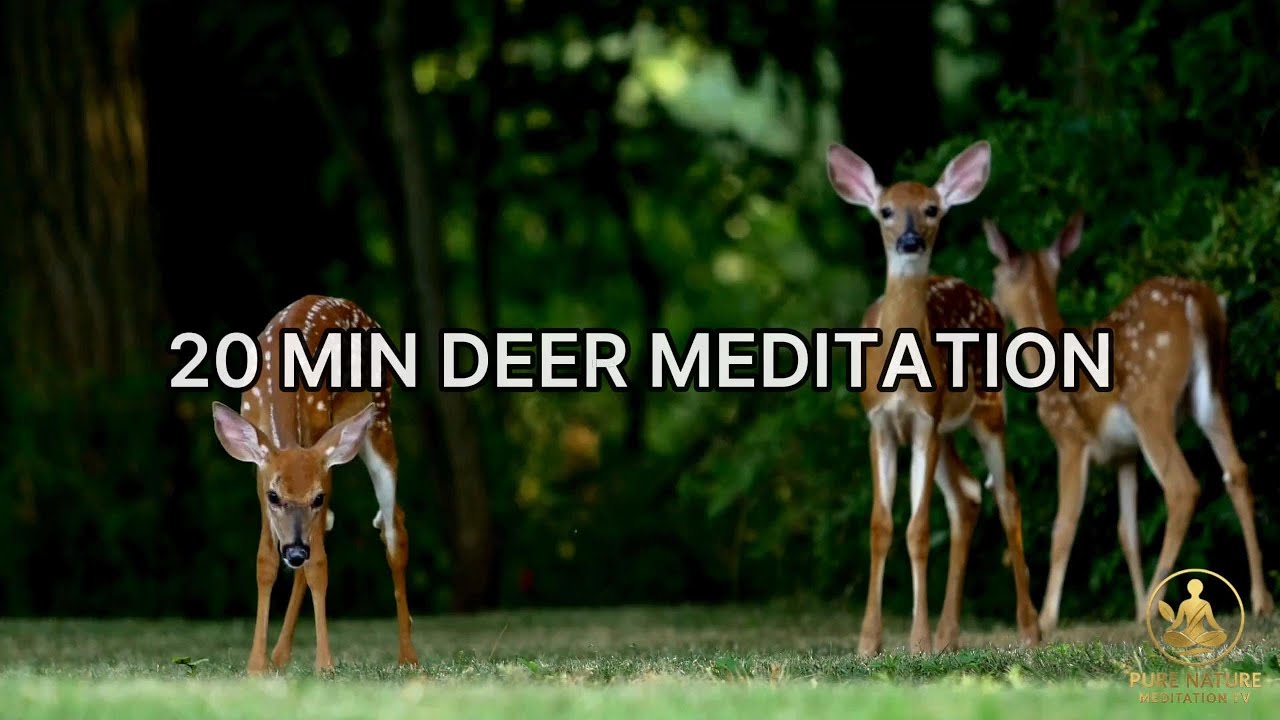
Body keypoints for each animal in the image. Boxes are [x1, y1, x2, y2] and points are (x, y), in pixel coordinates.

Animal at [210, 295, 419, 674]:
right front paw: (256, 664)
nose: (295, 552)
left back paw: (408, 656)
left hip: (380, 418)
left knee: (393, 527)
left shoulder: (325, 457)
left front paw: (325, 665)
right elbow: (266, 562)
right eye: (274, 496)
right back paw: (280, 655)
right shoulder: (259, 470)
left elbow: (319, 565)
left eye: (317, 497)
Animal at [826, 140, 1041, 655]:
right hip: (947, 429)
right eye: (885, 211)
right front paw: (869, 642)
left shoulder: (924, 420)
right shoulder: (881, 422)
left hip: (988, 408)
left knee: (1007, 497)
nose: (909, 241)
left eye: (931, 209)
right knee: (967, 496)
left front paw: (917, 641)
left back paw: (1029, 630)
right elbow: (881, 526)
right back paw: (949, 636)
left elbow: (919, 529)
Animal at [982, 211, 1275, 633]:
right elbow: (1128, 531)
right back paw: (1260, 599)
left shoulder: (1070, 440)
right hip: (1214, 393)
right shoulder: (1124, 453)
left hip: (1150, 402)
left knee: (1182, 487)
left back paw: (1157, 605)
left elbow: (1064, 524)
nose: (991, 303)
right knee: (1236, 471)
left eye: (995, 274)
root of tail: (1197, 300)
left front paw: (1049, 617)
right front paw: (1135, 605)